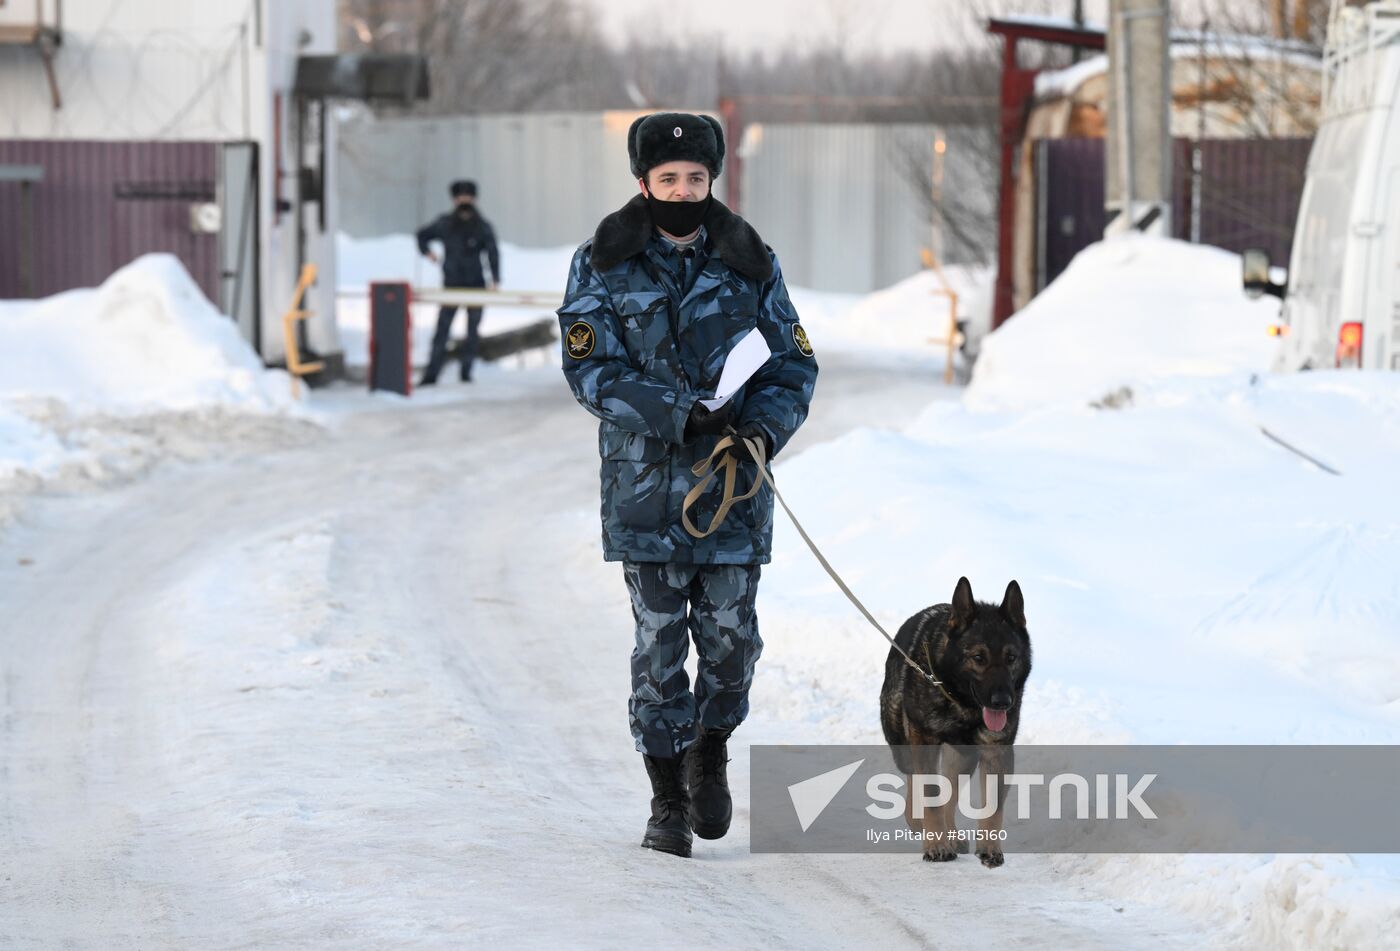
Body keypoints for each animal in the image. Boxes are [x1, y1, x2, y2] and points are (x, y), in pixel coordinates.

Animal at [884, 577, 1030, 868]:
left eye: (1011, 658)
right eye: (979, 658)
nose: (1003, 702)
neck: (962, 704)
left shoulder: (996, 751)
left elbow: (992, 807)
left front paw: (989, 848)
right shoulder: (923, 739)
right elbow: (929, 793)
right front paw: (936, 845)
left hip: (964, 757)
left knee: (949, 792)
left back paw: (950, 834)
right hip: (902, 743)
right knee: (915, 779)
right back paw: (919, 822)